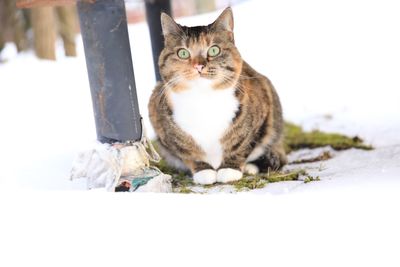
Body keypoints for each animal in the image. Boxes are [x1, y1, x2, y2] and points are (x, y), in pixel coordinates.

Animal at [148, 7, 286, 185]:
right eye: (183, 53)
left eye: (214, 50)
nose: (199, 66)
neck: (203, 99)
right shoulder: (160, 121)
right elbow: (188, 151)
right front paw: (204, 171)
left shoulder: (261, 110)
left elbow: (242, 143)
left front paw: (230, 169)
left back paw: (251, 167)